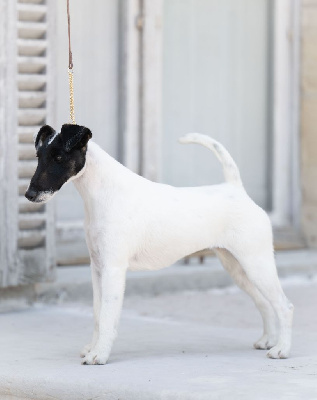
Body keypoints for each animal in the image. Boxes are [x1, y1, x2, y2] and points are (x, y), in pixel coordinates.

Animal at [25, 125, 292, 366]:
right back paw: (267, 341)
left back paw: (281, 350)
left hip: (257, 264)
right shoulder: (97, 268)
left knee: (283, 305)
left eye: (59, 157)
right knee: (264, 303)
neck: (103, 193)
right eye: (39, 156)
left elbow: (108, 315)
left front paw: (99, 355)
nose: (30, 194)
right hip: (238, 268)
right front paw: (92, 348)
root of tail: (236, 189)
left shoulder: (113, 269)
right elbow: (97, 314)